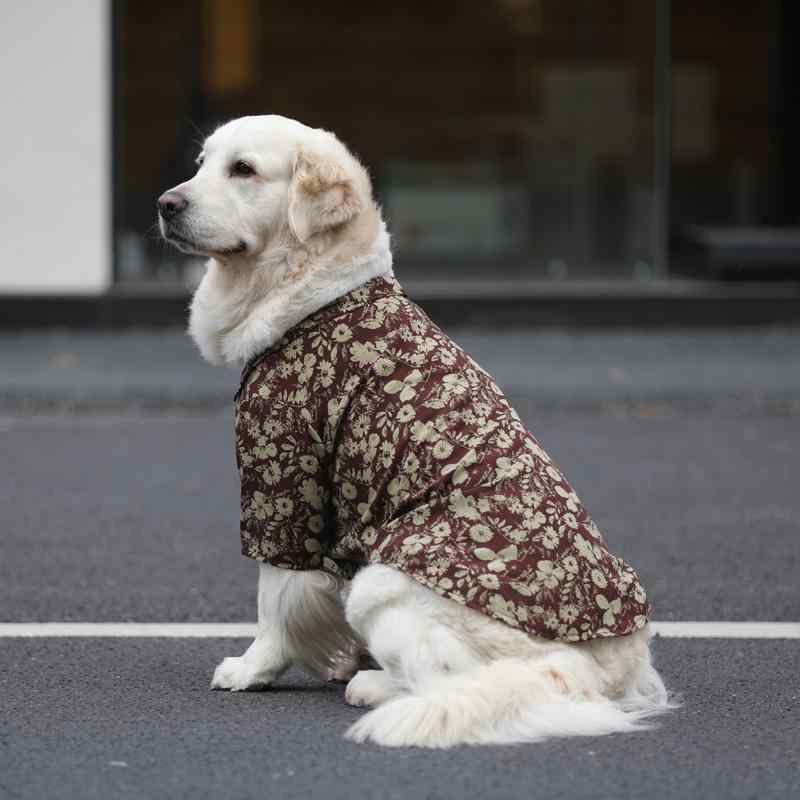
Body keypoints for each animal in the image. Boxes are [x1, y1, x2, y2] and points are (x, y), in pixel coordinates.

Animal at [156, 115, 668, 748]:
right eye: (202, 163)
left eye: (243, 169)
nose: (165, 204)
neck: (317, 296)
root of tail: (584, 670)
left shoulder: (283, 481)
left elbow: (273, 600)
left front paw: (253, 669)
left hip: (385, 581)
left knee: (439, 678)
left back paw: (372, 686)